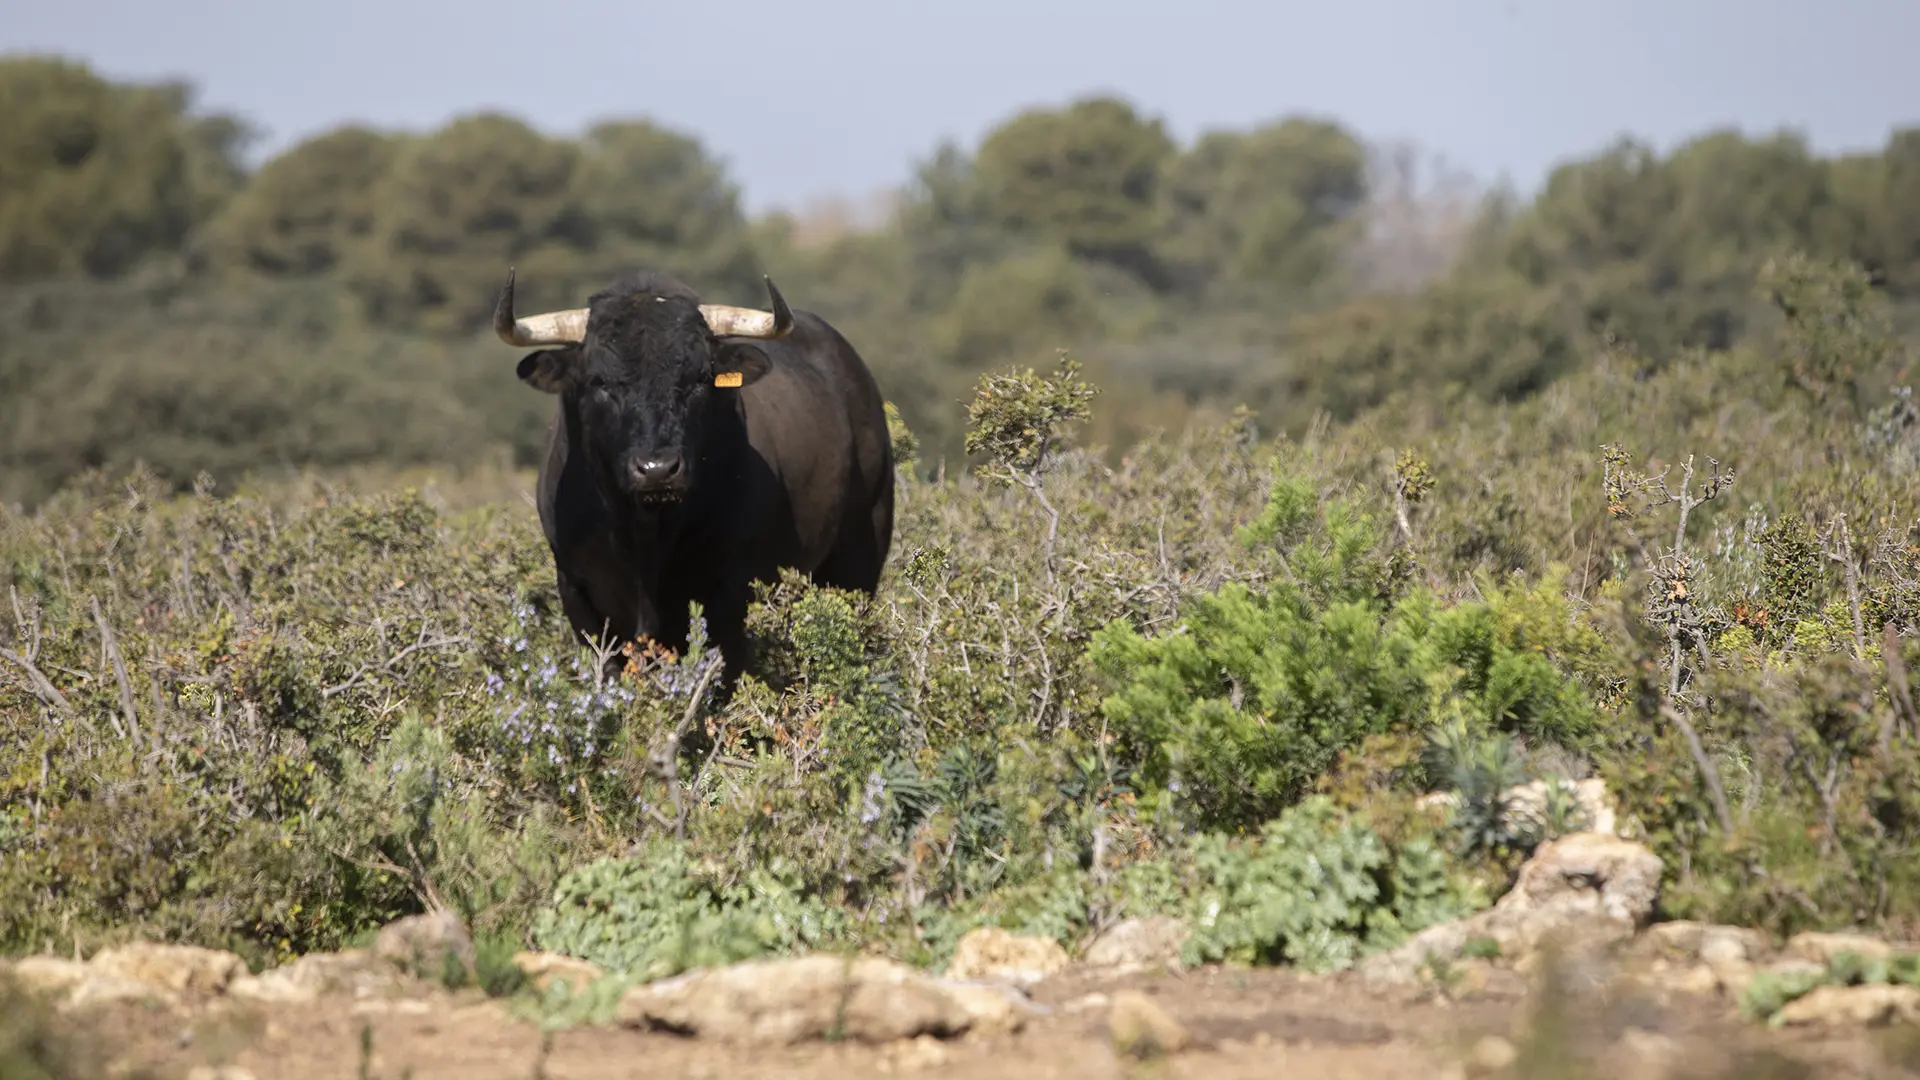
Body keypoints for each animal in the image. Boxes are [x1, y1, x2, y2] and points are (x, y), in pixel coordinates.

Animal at [487, 267, 890, 680]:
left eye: (699, 377)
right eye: (599, 381)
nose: (657, 469)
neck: (644, 536)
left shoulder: (731, 597)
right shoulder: (578, 595)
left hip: (861, 551)